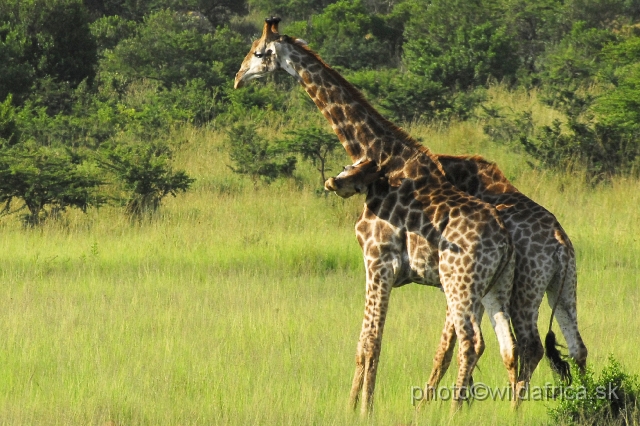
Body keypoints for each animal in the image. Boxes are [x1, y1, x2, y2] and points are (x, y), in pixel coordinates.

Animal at [235, 18, 520, 414]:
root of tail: (506, 242)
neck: (383, 157)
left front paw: (361, 409)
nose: (237, 78)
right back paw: (512, 410)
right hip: (497, 286)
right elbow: (364, 343)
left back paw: (453, 412)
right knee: (510, 346)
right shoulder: (380, 266)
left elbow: (370, 343)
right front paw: (352, 406)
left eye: (259, 52)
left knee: (471, 342)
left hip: (460, 282)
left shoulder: (377, 261)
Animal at [324, 156, 592, 400]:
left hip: (524, 290)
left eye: (354, 166)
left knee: (527, 346)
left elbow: (434, 345)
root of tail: (559, 240)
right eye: (347, 165)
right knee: (571, 347)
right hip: (560, 288)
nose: (333, 182)